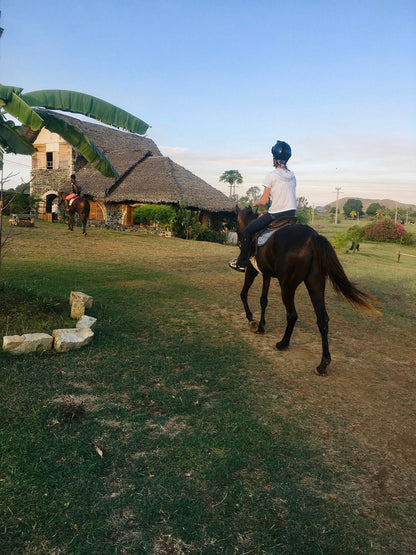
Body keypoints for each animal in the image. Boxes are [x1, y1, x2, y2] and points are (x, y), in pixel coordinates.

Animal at [236, 206, 378, 376]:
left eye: (236, 223)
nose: (238, 241)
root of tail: (312, 237)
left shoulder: (252, 270)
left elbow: (244, 294)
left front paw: (252, 320)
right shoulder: (266, 274)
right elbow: (263, 300)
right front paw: (261, 326)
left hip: (287, 286)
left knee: (292, 315)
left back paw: (283, 343)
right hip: (315, 284)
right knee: (322, 320)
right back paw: (323, 364)